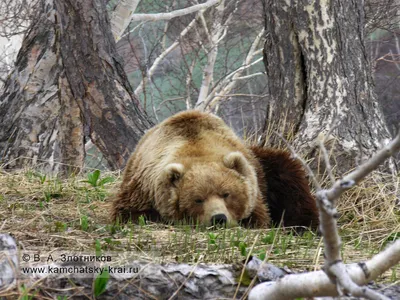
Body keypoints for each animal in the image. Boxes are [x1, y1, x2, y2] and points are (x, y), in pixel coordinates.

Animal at [110, 110, 318, 230]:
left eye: (226, 194)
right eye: (198, 199)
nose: (218, 218)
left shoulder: (255, 189)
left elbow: (258, 216)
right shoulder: (142, 186)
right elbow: (129, 213)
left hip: (267, 165)